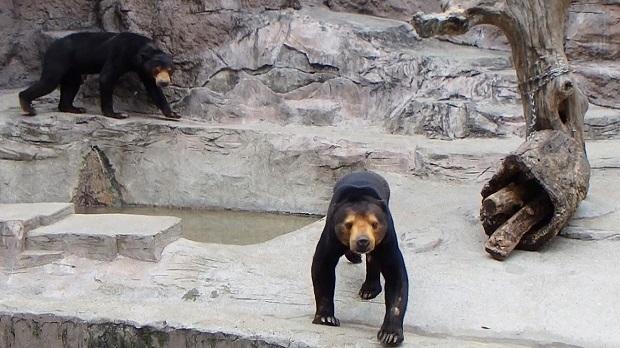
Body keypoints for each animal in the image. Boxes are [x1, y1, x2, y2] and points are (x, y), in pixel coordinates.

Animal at [19, 32, 179, 119]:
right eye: (157, 69)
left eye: (170, 69)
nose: (164, 82)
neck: (139, 49)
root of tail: (50, 47)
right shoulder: (121, 52)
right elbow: (107, 77)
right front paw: (117, 114)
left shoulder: (142, 68)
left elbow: (153, 88)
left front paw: (173, 114)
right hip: (59, 58)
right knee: (49, 81)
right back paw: (28, 106)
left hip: (72, 66)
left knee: (73, 82)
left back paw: (74, 108)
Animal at [312, 171, 410, 346]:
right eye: (348, 224)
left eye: (374, 224)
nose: (362, 241)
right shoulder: (331, 234)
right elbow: (323, 265)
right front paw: (326, 318)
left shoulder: (387, 238)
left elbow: (396, 275)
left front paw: (389, 335)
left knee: (373, 258)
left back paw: (368, 289)